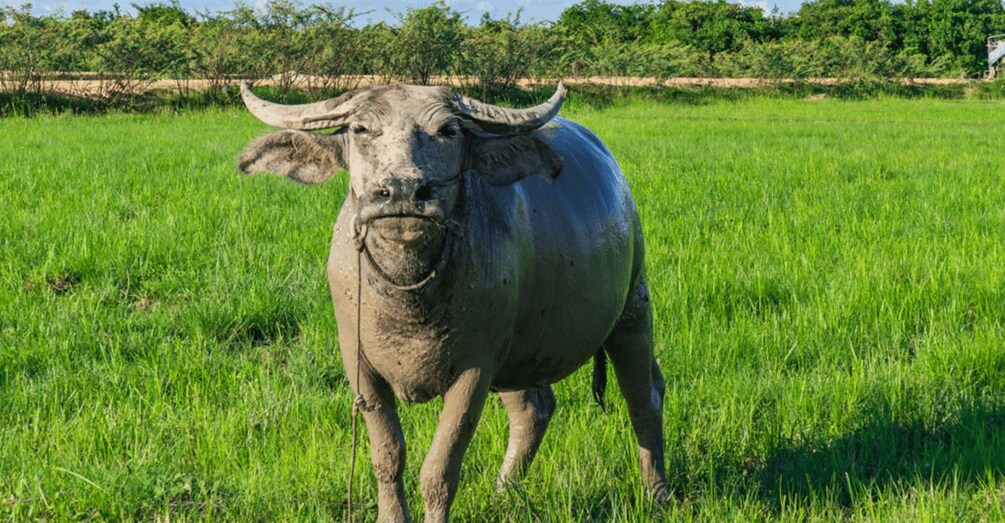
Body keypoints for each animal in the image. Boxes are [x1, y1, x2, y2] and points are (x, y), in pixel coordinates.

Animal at [237, 82, 667, 523]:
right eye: (360, 129)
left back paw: (657, 493)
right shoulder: (359, 364)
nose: (403, 192)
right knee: (534, 409)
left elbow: (439, 469)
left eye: (448, 130)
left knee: (644, 396)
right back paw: (504, 490)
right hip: (518, 353)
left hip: (633, 305)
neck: (408, 300)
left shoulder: (475, 369)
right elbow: (387, 457)